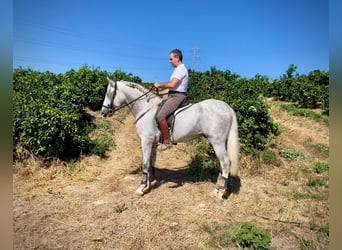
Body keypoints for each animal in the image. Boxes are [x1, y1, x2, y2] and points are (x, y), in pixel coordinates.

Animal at [101, 78, 240, 199]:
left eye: (109, 93)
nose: (103, 112)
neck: (146, 109)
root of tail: (227, 107)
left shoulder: (146, 141)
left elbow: (145, 163)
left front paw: (141, 188)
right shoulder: (153, 143)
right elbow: (151, 163)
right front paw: (149, 184)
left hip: (217, 142)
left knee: (225, 162)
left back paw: (220, 192)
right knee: (223, 165)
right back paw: (218, 189)